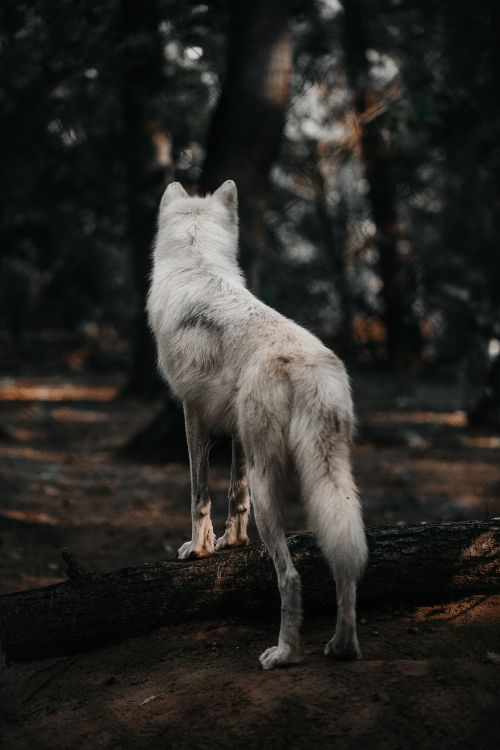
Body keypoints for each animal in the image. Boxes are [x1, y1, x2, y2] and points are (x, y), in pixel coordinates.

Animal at [147, 180, 368, 670]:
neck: (196, 261)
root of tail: (306, 363)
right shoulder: (237, 433)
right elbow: (234, 492)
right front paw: (231, 543)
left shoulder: (193, 413)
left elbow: (199, 495)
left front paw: (199, 549)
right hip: (334, 482)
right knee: (345, 558)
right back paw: (342, 646)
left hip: (275, 493)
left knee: (290, 577)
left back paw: (284, 653)